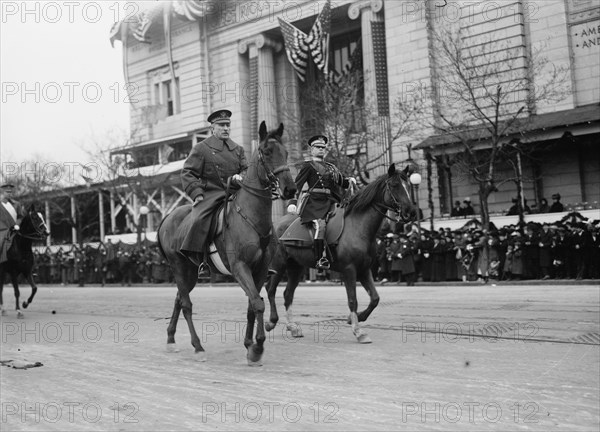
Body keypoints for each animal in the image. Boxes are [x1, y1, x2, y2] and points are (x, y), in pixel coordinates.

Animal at [156, 120, 294, 364]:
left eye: (285, 153)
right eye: (267, 152)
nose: (290, 188)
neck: (250, 217)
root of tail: (169, 216)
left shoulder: (259, 270)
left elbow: (252, 305)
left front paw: (249, 344)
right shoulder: (240, 268)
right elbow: (258, 303)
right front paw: (257, 347)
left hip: (190, 273)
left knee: (178, 299)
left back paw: (171, 339)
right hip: (179, 267)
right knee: (186, 305)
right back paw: (197, 346)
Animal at [264, 165, 414, 344]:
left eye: (408, 185)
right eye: (394, 185)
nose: (410, 212)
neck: (359, 226)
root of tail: (276, 224)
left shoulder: (364, 270)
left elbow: (375, 298)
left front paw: (356, 318)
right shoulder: (349, 270)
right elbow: (353, 300)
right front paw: (358, 331)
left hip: (296, 267)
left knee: (287, 294)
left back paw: (292, 327)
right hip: (279, 264)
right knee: (270, 289)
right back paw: (271, 322)